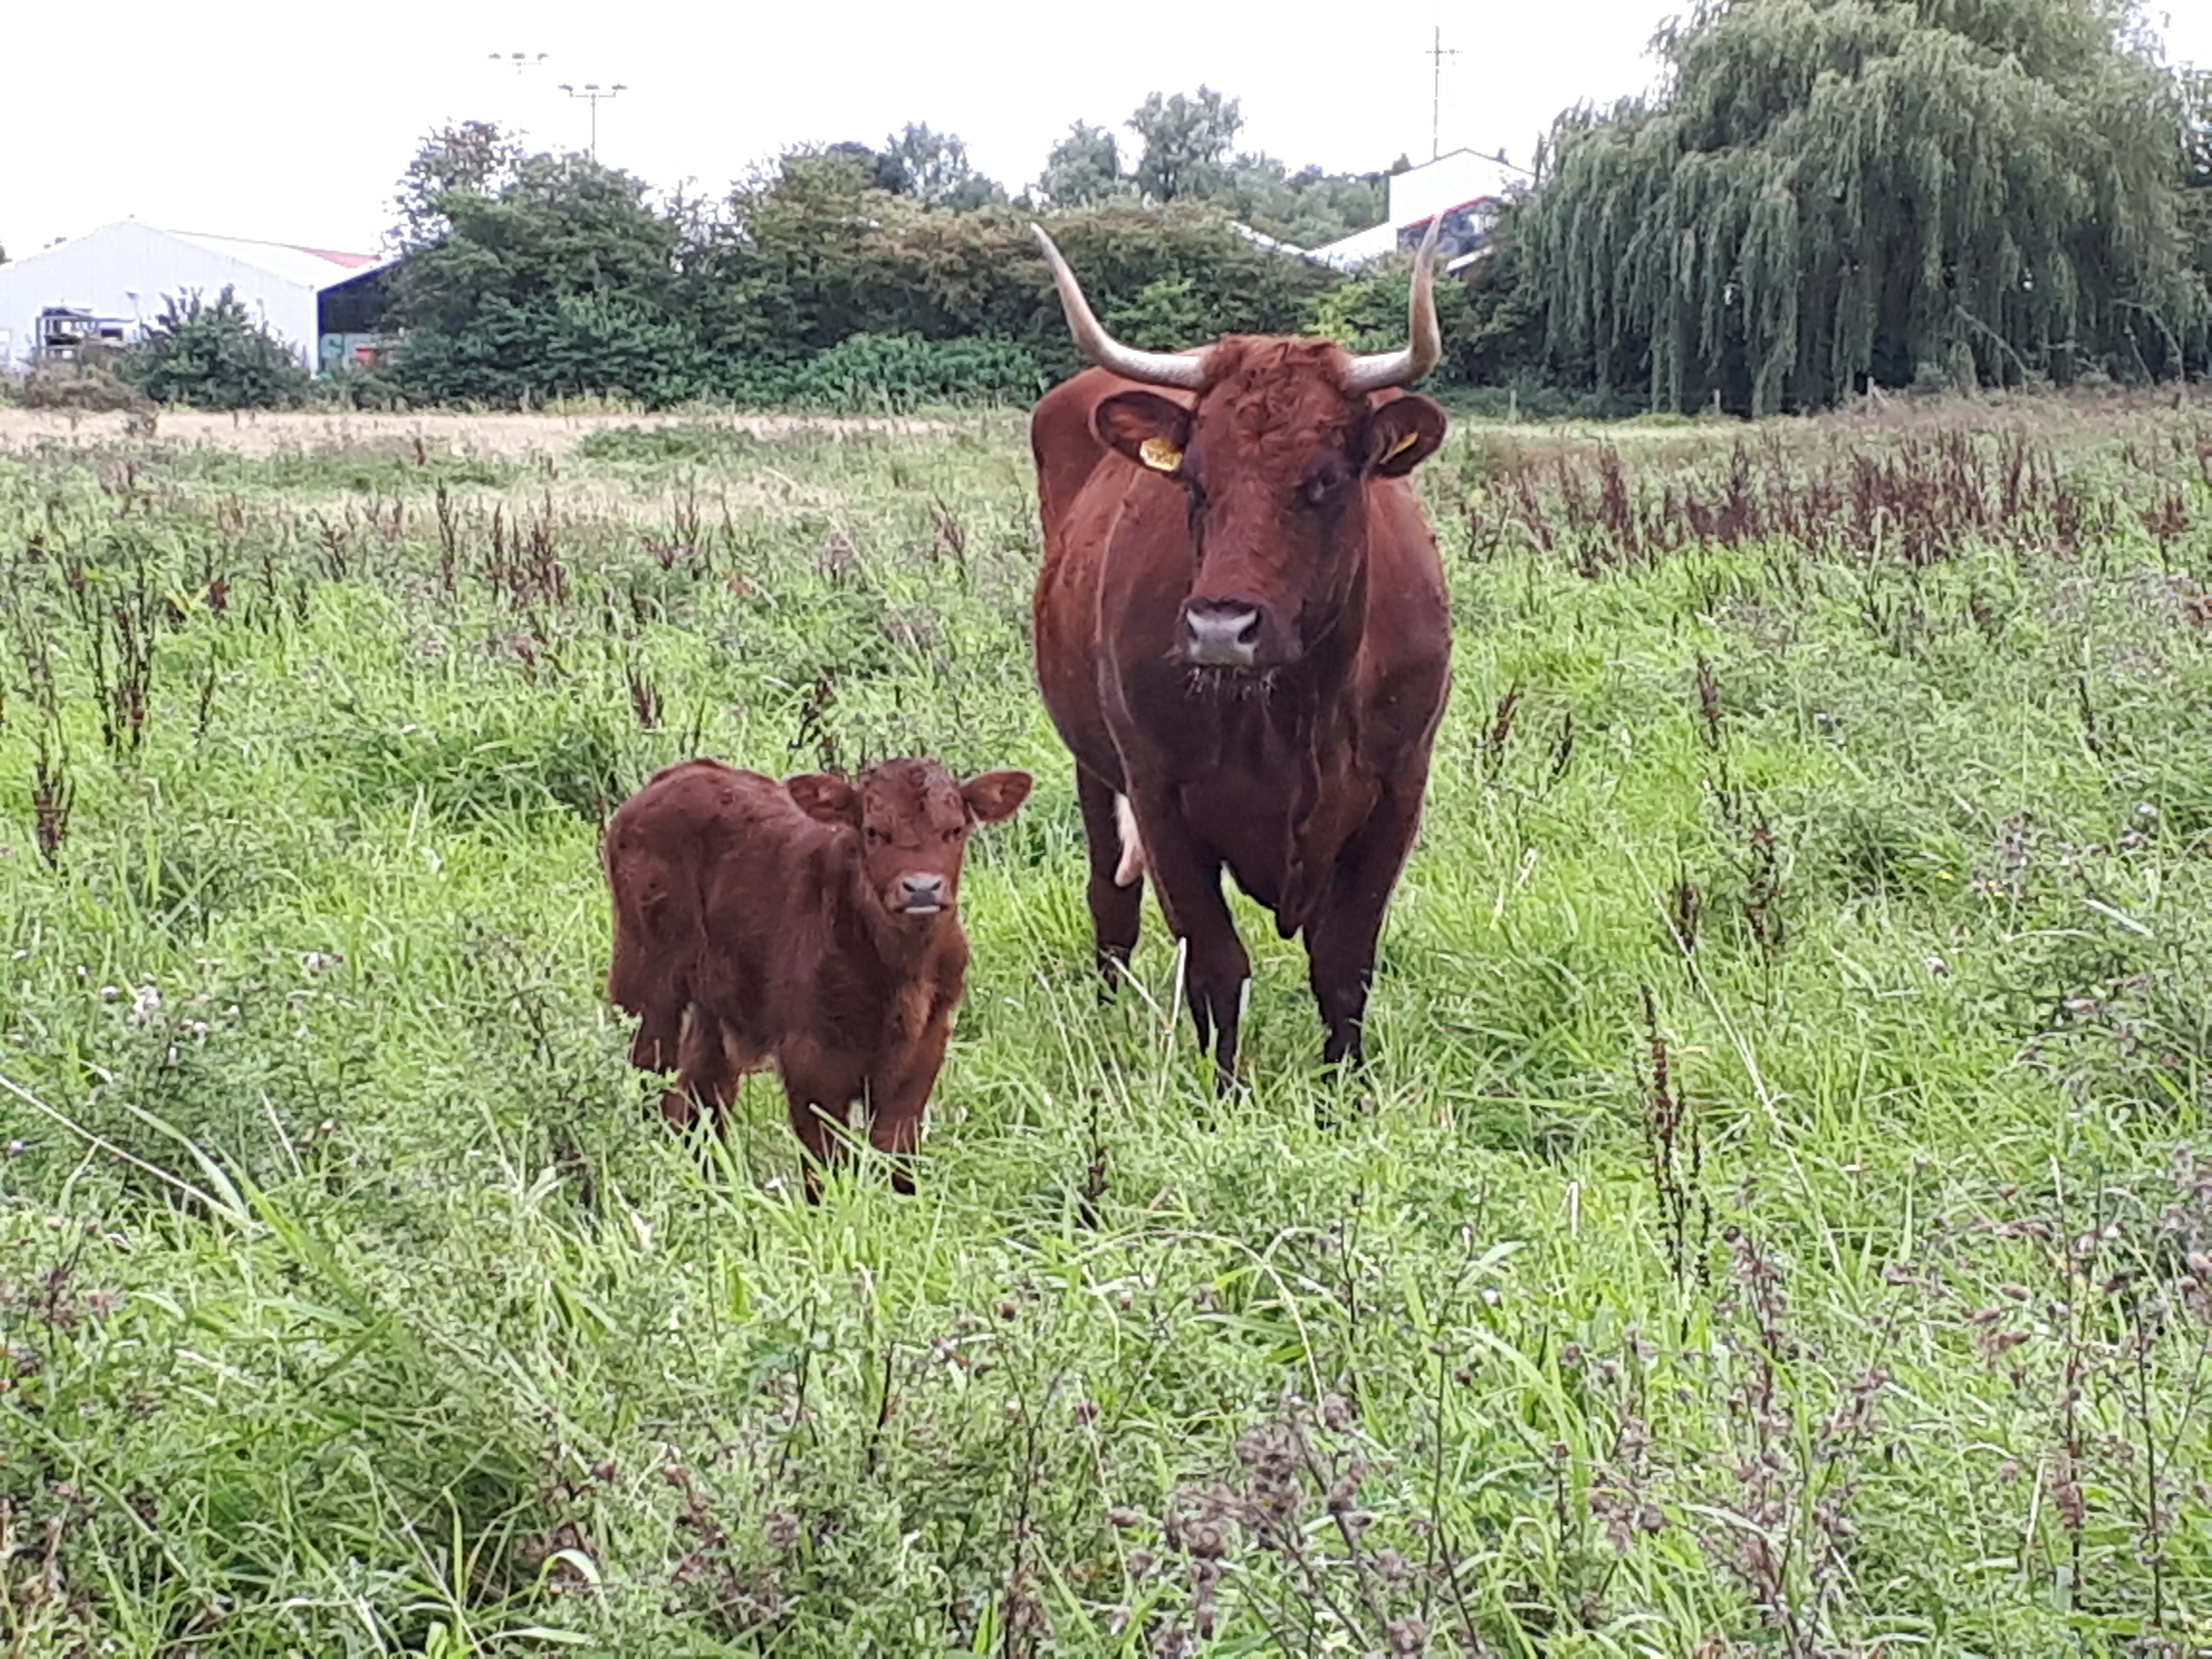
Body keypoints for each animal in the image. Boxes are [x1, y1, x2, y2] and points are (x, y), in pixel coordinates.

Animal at [603, 756, 1032, 1197]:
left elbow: (894, 1149)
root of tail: (682, 772)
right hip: (645, 980)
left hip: (716, 1002)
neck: (902, 973)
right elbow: (826, 1163)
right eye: (874, 831)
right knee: (648, 1076)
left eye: (955, 830)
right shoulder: (809, 1053)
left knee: (699, 1097)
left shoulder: (927, 1045)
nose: (922, 888)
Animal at [1026, 219, 1452, 1089]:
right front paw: (1225, 1095)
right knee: (1110, 903)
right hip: (1092, 765)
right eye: (1193, 481)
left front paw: (1344, 1091)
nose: (1220, 629)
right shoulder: (1159, 794)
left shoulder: (1398, 791)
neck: (1298, 710)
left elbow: (1343, 961)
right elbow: (1217, 965)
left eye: (1324, 481)